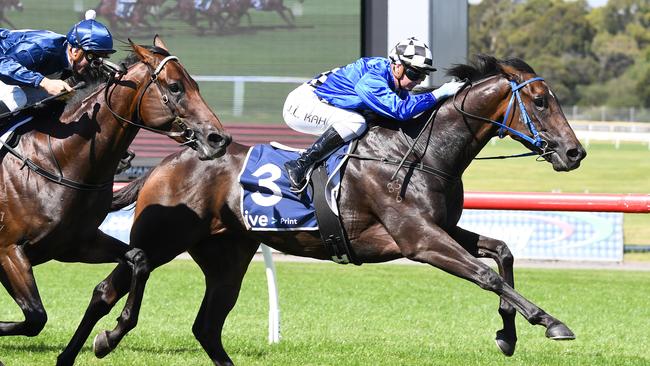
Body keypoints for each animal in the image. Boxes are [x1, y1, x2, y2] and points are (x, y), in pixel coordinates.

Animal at [0, 35, 228, 364]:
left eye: (194, 84)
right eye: (175, 87)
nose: (218, 139)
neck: (58, 159)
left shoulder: (75, 245)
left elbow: (139, 260)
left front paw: (109, 337)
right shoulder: (9, 251)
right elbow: (35, 318)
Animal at [62, 55, 588, 366]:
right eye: (540, 100)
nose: (574, 153)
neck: (418, 150)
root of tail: (165, 163)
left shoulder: (439, 227)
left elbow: (502, 252)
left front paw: (508, 334)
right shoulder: (418, 239)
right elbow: (486, 275)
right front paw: (550, 323)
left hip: (226, 254)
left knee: (206, 325)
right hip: (164, 238)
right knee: (117, 282)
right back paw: (106, 336)